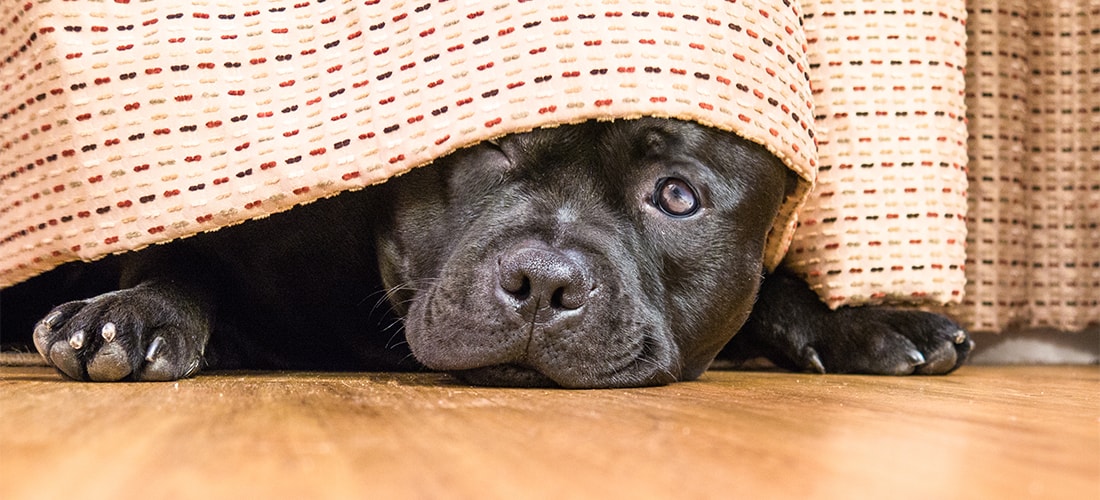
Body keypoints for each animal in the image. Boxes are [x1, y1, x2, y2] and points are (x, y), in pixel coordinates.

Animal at [19, 119, 972, 389]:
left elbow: (773, 286)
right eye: (490, 149)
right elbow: (175, 261)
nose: (543, 281)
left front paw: (865, 320)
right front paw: (132, 314)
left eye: (677, 196)